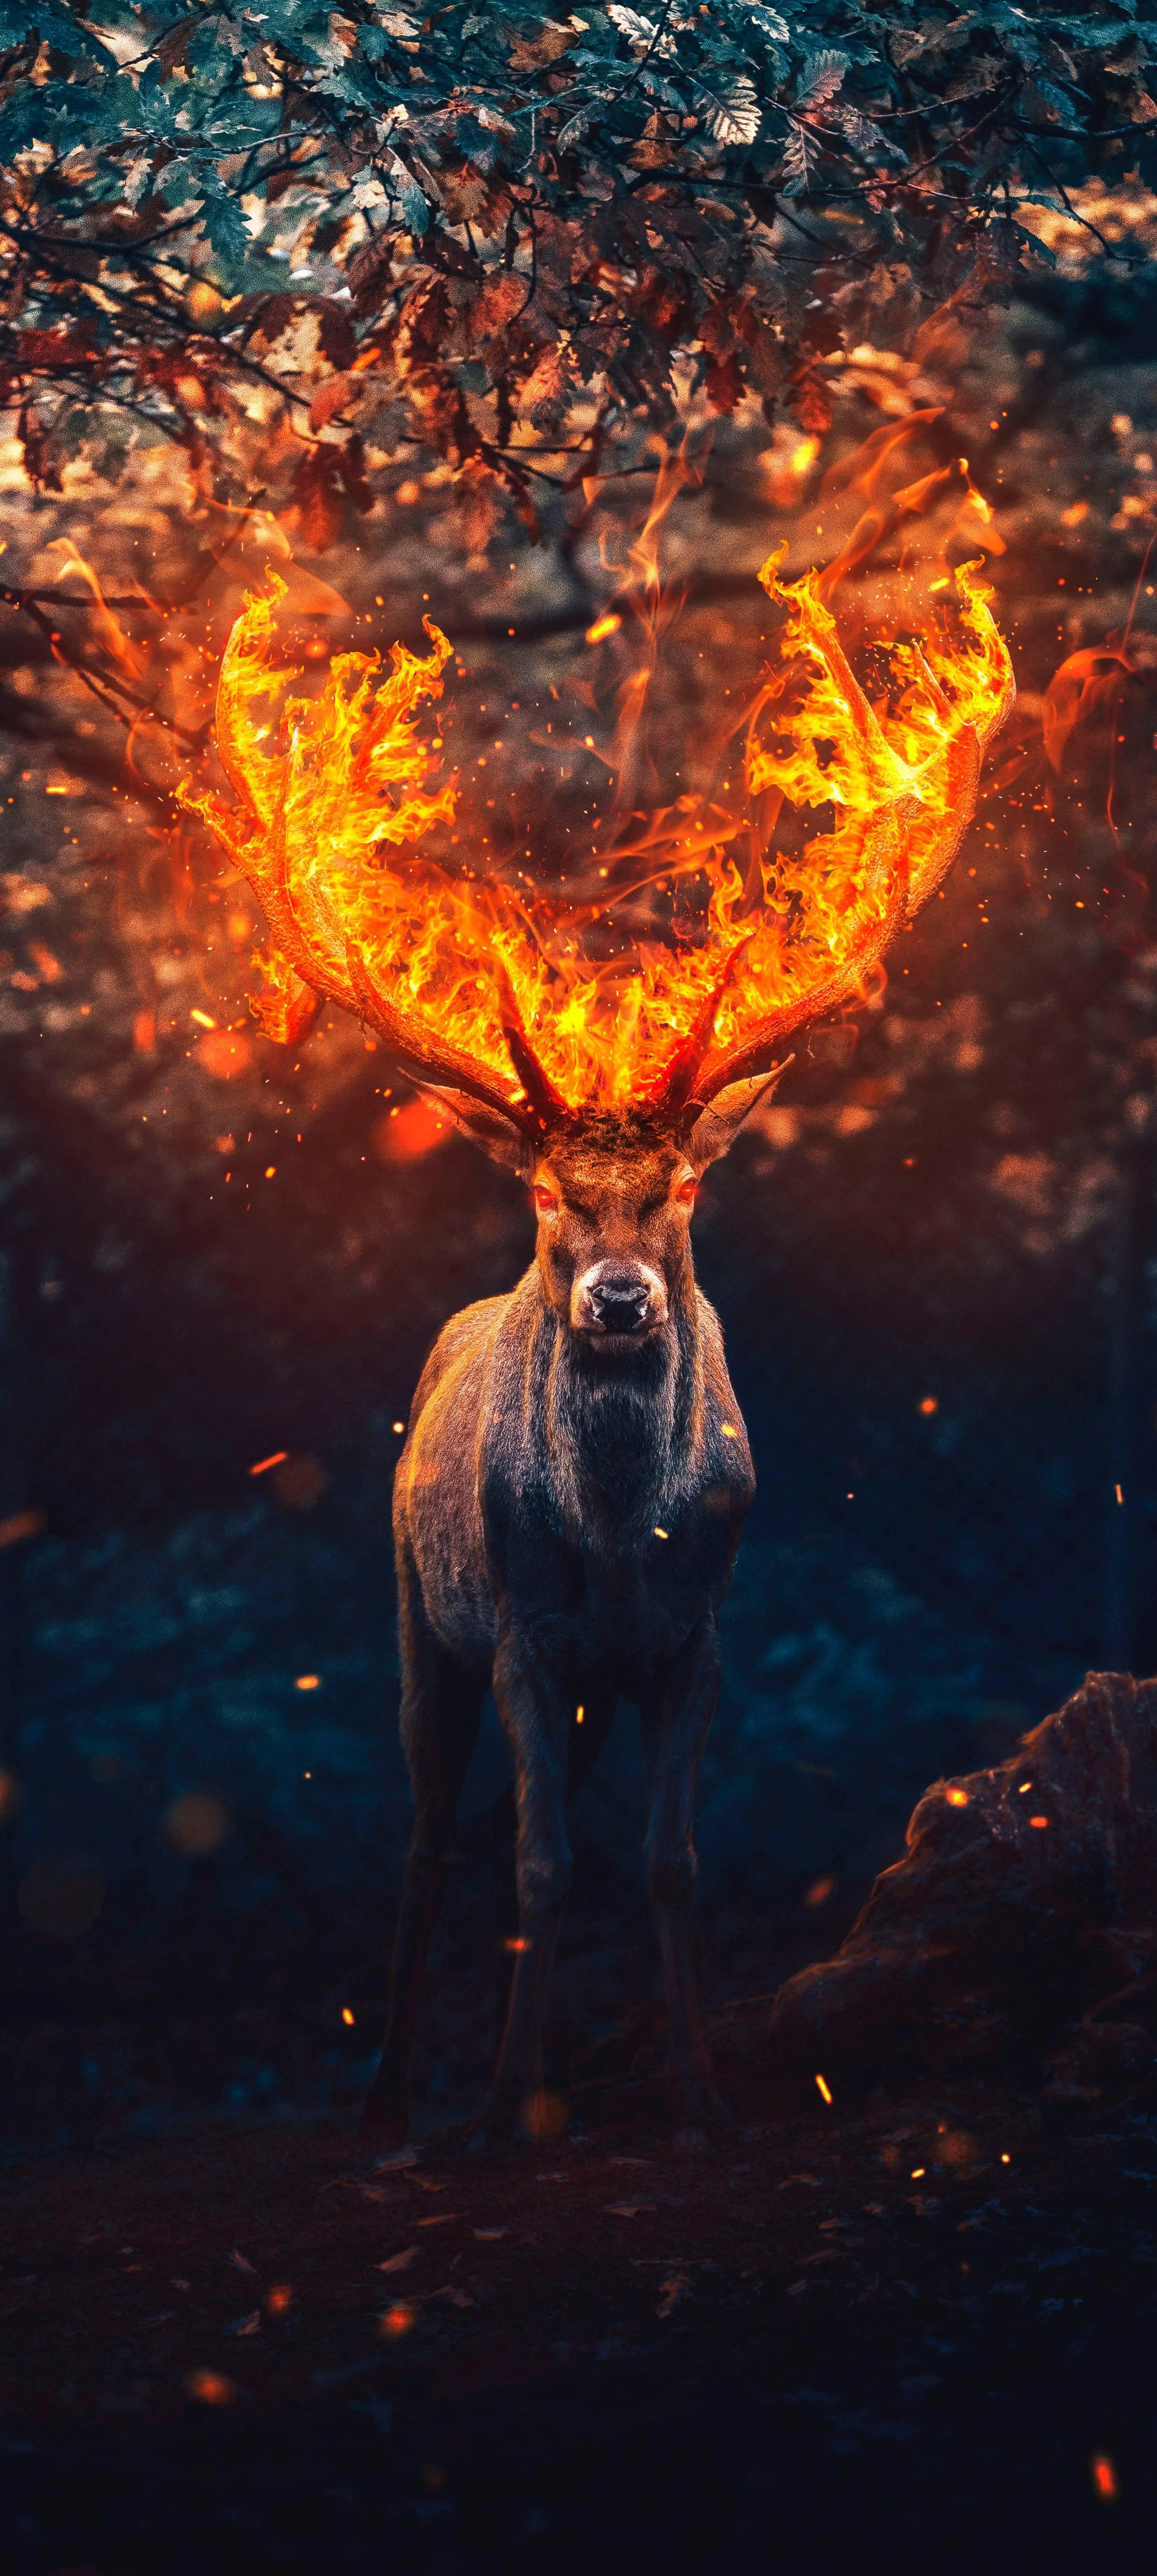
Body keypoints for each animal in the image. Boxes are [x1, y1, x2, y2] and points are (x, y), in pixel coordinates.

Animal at [185, 535, 1013, 2146]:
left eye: (681, 1183)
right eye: (544, 1191)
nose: (619, 1298)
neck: (625, 1529)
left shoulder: (697, 1636)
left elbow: (666, 1860)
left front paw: (696, 2087)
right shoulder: (522, 1626)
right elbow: (537, 1862)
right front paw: (510, 2099)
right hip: (416, 1617)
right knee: (435, 1836)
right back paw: (395, 2090)